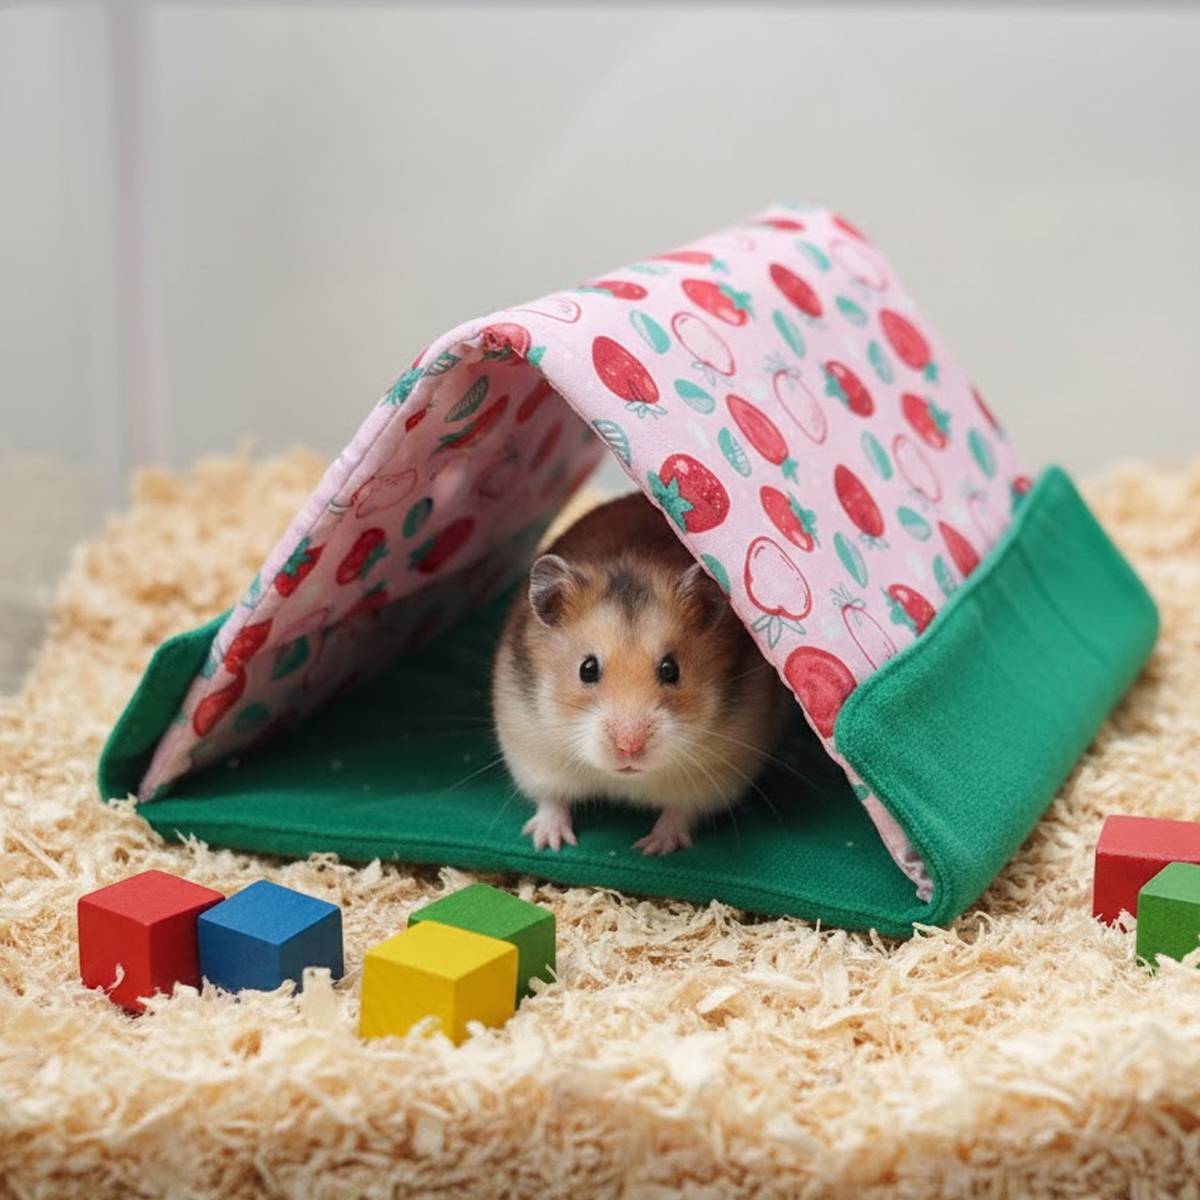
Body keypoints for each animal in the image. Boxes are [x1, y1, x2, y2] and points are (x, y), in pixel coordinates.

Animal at [492, 492, 791, 855]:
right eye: (587, 669)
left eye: (670, 670)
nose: (629, 747)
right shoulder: (532, 751)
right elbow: (551, 799)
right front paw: (549, 842)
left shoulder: (717, 774)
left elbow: (680, 813)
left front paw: (652, 848)